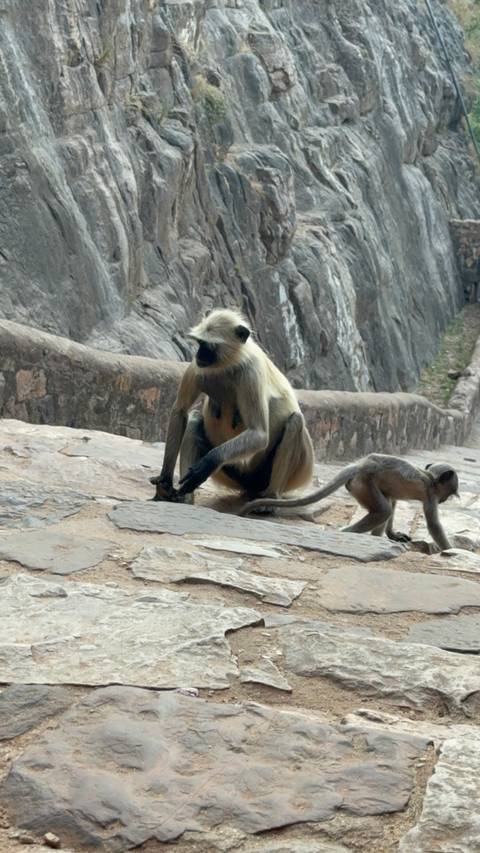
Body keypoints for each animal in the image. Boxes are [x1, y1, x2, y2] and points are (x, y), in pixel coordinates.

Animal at [150, 308, 315, 504]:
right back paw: (185, 498)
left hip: (282, 473)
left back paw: (270, 498)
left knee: (295, 421)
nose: (200, 354)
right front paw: (165, 480)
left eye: (210, 347)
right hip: (231, 473)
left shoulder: (251, 373)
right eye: (200, 343)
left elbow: (259, 434)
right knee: (194, 419)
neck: (229, 364)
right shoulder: (196, 366)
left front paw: (209, 462)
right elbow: (180, 411)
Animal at [239, 453, 459, 552]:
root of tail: (363, 464)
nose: (444, 499)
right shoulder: (430, 495)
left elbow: (394, 500)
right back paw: (346, 534)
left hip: (362, 485)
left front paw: (393, 535)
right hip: (364, 484)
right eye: (448, 493)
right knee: (384, 510)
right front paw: (451, 550)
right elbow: (433, 524)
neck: (430, 478)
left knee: (386, 505)